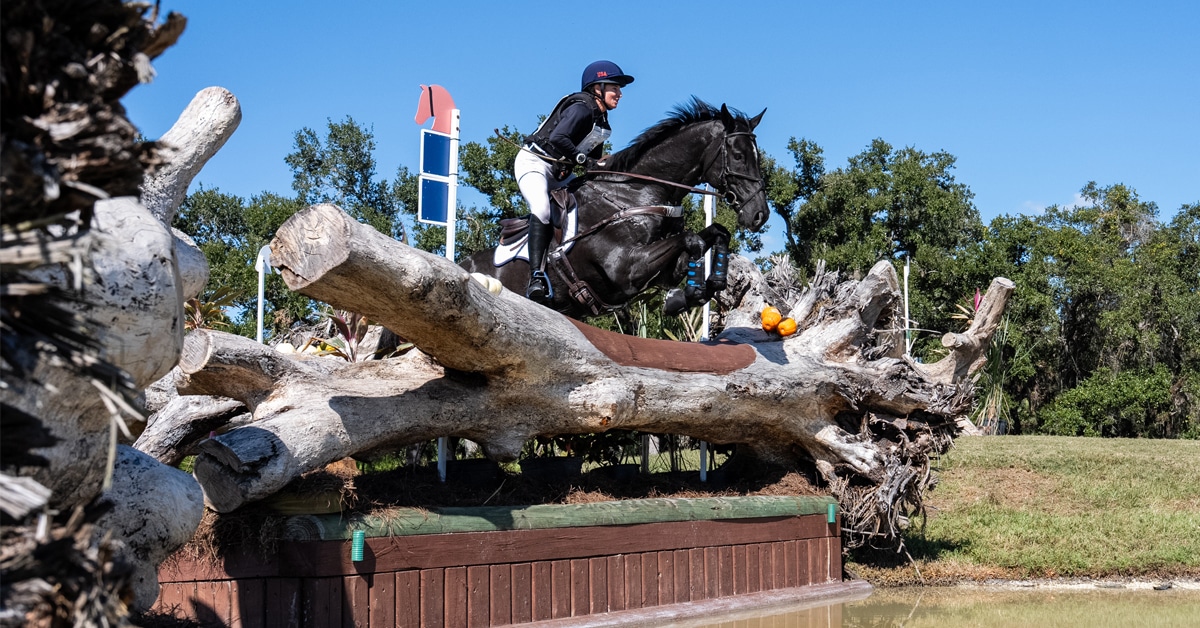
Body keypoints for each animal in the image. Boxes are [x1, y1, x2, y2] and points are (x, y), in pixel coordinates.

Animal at [461, 98, 768, 319]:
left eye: (757, 158)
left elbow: (716, 233)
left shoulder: (664, 270)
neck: (637, 193)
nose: (759, 215)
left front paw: (704, 288)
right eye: (738, 156)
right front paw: (692, 293)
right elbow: (693, 240)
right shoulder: (627, 269)